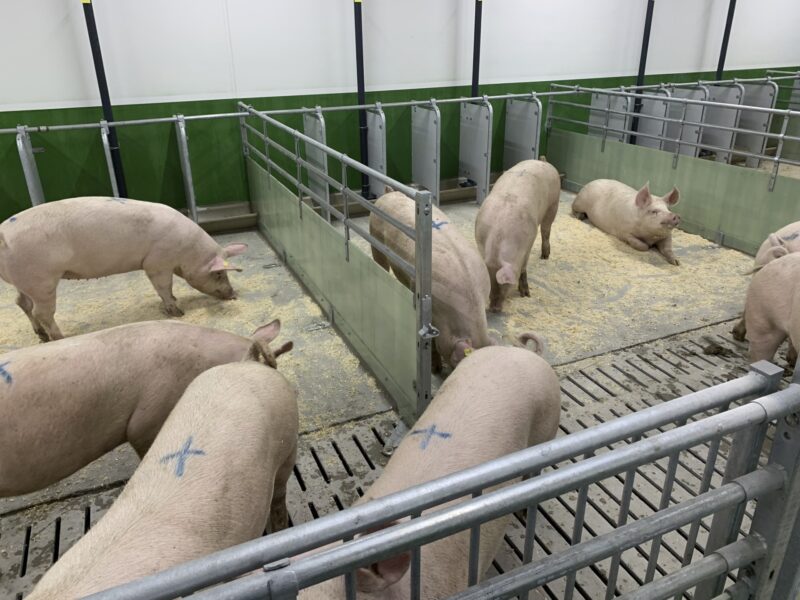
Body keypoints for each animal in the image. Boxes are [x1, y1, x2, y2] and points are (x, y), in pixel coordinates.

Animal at [0, 196, 248, 342]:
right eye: (219, 273)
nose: (233, 294)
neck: (187, 250)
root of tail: (3, 236)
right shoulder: (157, 262)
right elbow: (163, 287)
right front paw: (178, 312)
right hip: (41, 281)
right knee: (41, 312)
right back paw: (60, 338)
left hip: (25, 282)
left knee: (22, 304)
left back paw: (41, 336)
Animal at [475, 159, 560, 312]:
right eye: (488, 285)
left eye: (505, 285)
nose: (494, 308)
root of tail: (543, 161)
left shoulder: (528, 243)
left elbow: (523, 268)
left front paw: (526, 295)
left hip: (553, 204)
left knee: (546, 230)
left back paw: (545, 256)